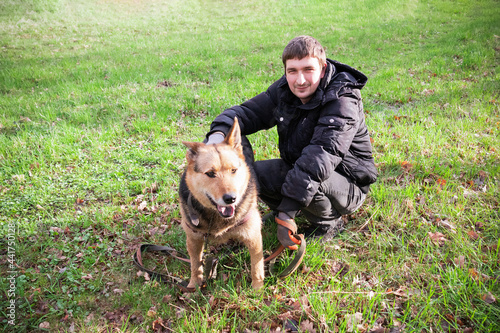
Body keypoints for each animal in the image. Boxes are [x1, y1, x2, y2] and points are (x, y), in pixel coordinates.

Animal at [180, 118, 266, 290]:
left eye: (233, 170)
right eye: (210, 173)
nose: (231, 198)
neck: (216, 217)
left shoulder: (253, 236)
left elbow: (257, 266)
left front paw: (257, 289)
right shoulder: (193, 239)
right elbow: (195, 265)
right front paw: (194, 285)